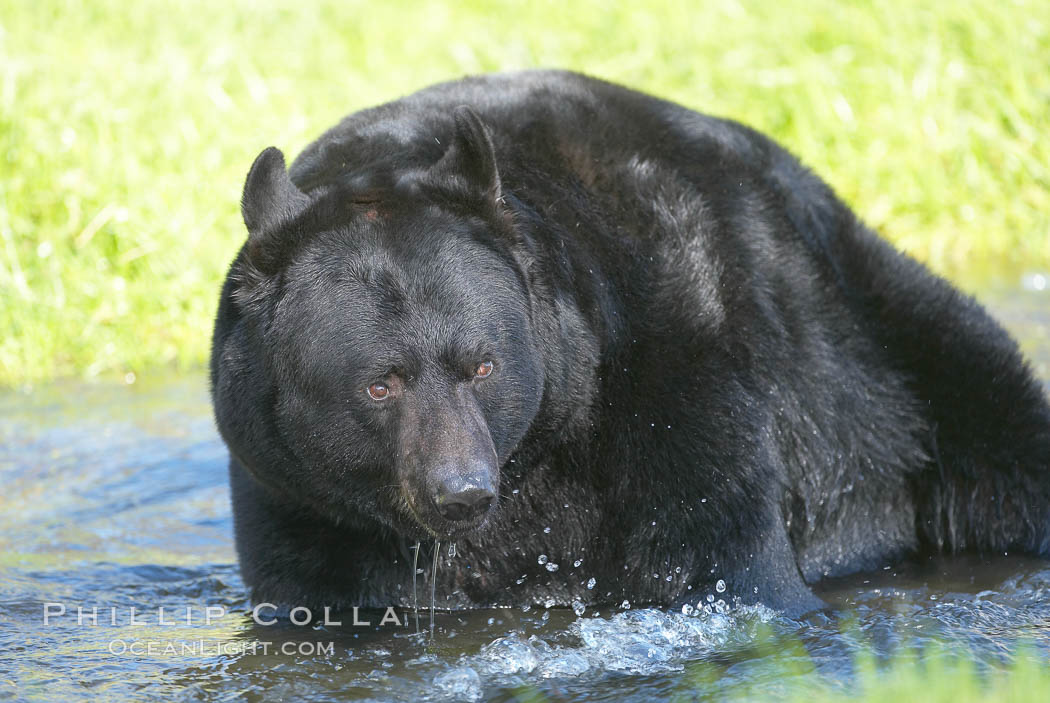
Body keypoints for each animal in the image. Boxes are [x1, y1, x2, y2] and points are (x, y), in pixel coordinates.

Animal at [211, 70, 1050, 616]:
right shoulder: (298, 499)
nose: (461, 492)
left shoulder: (672, 363)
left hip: (888, 354)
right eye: (379, 382)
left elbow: (718, 553)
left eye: (481, 363)